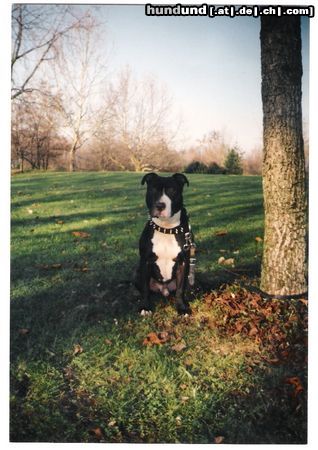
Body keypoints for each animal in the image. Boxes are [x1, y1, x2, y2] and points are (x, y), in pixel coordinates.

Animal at [134, 173, 194, 316]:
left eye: (172, 190)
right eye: (153, 190)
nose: (160, 205)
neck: (167, 228)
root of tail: (163, 289)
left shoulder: (183, 263)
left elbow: (180, 289)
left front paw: (182, 307)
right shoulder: (145, 261)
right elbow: (145, 288)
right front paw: (145, 307)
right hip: (137, 272)